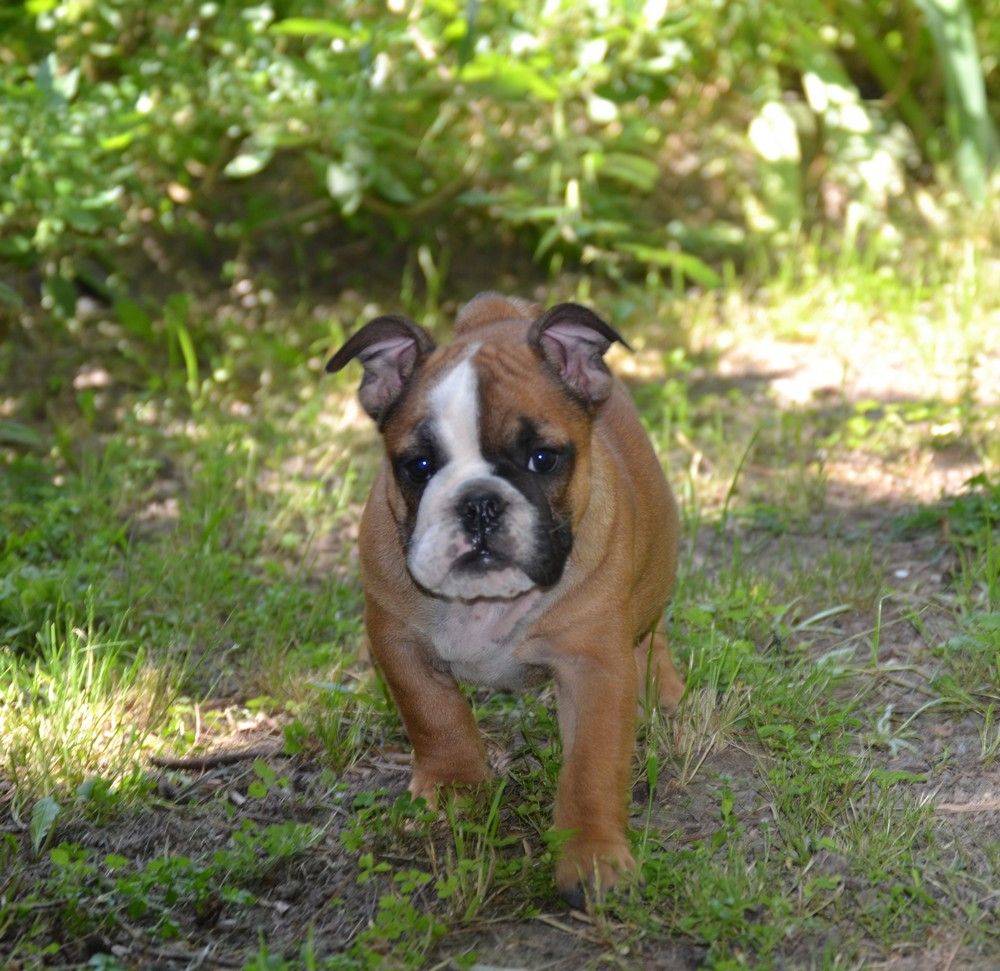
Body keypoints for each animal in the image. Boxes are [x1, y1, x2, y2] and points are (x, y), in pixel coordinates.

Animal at [326, 292, 680, 908]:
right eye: (417, 466)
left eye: (544, 458)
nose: (479, 502)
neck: (485, 602)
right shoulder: (395, 639)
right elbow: (432, 713)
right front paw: (455, 786)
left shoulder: (595, 668)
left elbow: (591, 770)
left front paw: (592, 856)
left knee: (651, 632)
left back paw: (666, 693)